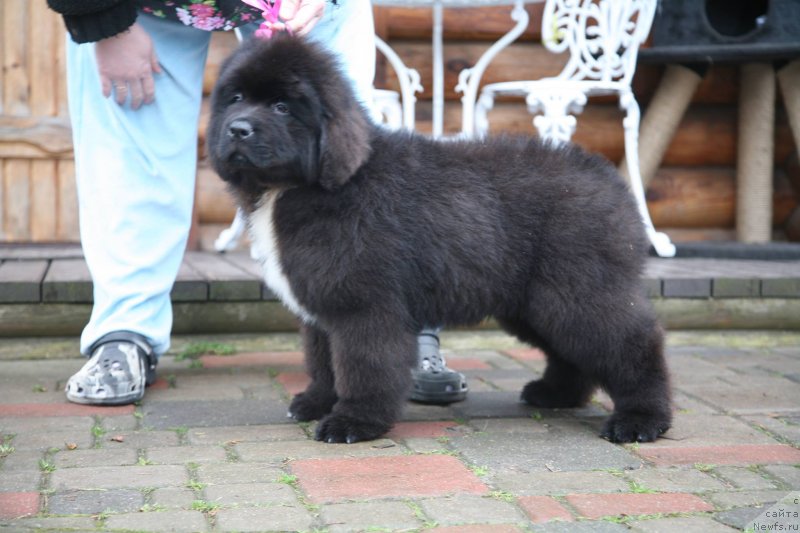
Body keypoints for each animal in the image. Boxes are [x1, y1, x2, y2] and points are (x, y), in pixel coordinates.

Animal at [209, 36, 672, 444]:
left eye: (282, 106)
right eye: (235, 99)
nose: (238, 130)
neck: (311, 184)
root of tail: (607, 179)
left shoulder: (363, 306)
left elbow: (362, 366)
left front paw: (353, 422)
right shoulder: (323, 307)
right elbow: (323, 362)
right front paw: (318, 402)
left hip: (577, 293)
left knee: (632, 345)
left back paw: (641, 419)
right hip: (533, 303)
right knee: (571, 353)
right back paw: (556, 394)